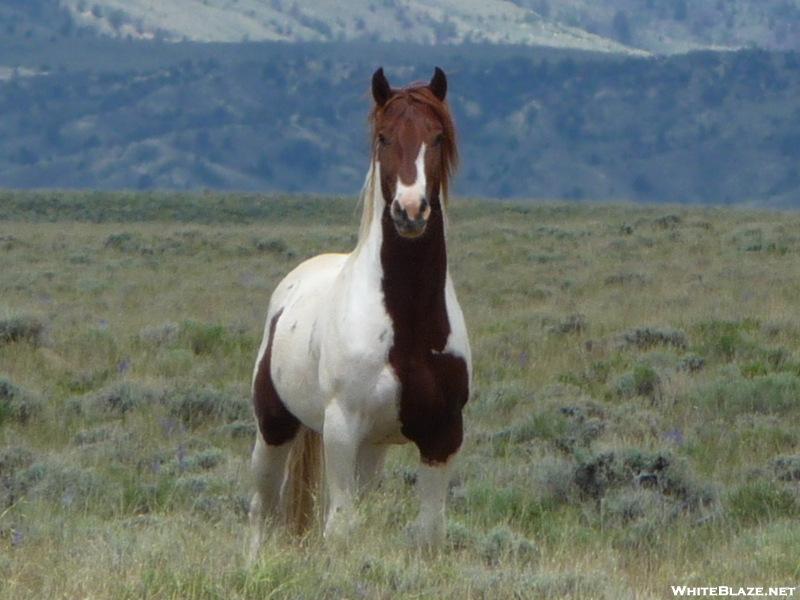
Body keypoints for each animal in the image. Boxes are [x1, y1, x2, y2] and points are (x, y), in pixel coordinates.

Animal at [248, 67, 468, 556]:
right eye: (384, 137)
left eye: (438, 136)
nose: (411, 210)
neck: (408, 323)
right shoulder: (342, 429)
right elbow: (341, 526)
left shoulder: (442, 436)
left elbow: (430, 532)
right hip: (274, 426)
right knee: (262, 508)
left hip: (373, 448)